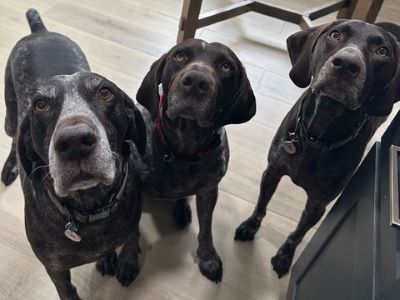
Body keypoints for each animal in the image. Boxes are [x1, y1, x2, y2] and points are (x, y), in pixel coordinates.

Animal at [133, 38, 255, 282]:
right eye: (179, 56)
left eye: (226, 67)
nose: (196, 81)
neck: (181, 151)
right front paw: (125, 260)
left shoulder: (208, 191)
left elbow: (206, 227)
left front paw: (208, 258)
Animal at [234, 19, 400, 278]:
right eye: (335, 34)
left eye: (382, 51)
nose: (347, 64)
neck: (316, 137)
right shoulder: (272, 172)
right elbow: (261, 205)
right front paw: (250, 226)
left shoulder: (317, 204)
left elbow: (298, 234)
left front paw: (285, 256)